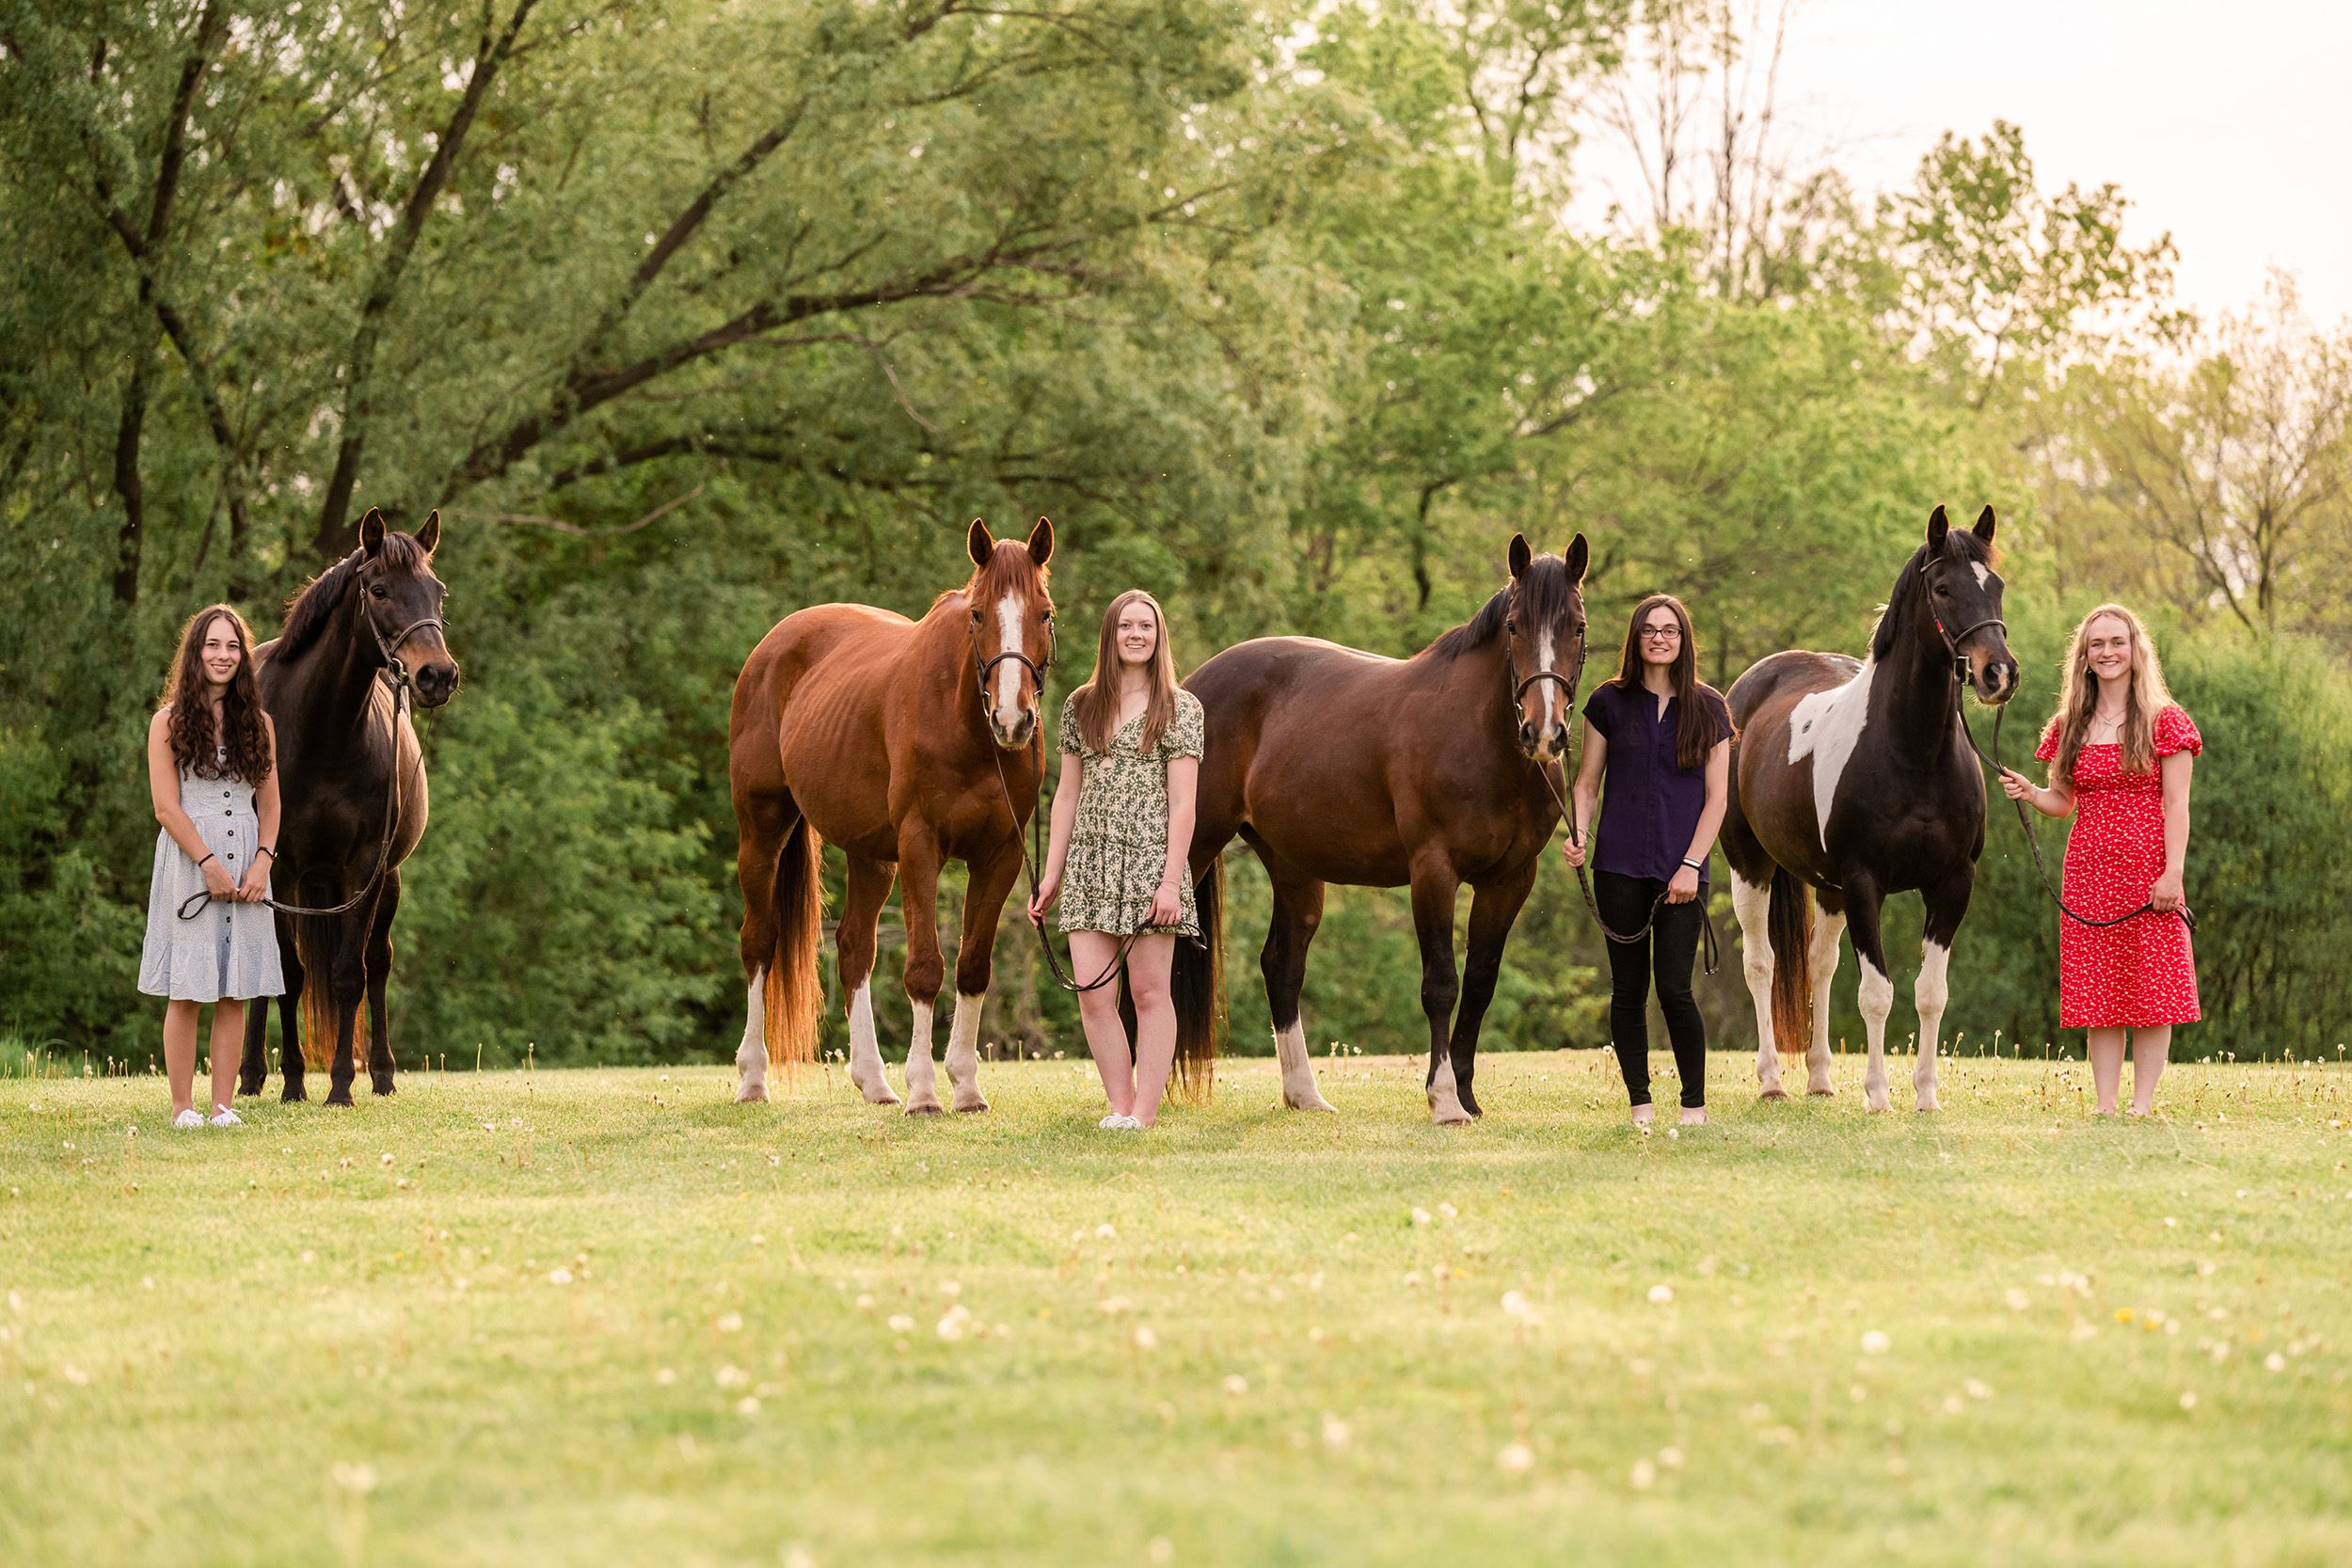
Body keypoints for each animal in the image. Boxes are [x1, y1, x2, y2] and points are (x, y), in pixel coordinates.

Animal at [237, 508, 461, 1105]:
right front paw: (293, 1082)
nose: (438, 676)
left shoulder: (364, 868)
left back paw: (380, 1073)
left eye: (438, 591)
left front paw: (340, 1084)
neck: (321, 730)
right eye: (379, 590)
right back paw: (250, 1074)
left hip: (385, 880)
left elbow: (348, 975)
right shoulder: (280, 870)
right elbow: (288, 975)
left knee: (377, 964)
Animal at [728, 518, 1056, 1113]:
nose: (1012, 719)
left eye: (1044, 613)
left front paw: (966, 1087)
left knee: (855, 947)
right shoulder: (920, 846)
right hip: (761, 831)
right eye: (978, 614)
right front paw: (924, 1092)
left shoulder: (999, 856)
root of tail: (773, 645)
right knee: (759, 942)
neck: (967, 728)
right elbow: (925, 968)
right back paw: (753, 1080)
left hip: (872, 856)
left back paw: (874, 1082)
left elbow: (973, 966)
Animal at [1171, 534, 1589, 1124]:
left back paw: (1304, 1095)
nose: (1544, 732)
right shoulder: (1433, 870)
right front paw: (1444, 1101)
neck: (1481, 736)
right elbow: (1441, 984)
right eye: (1514, 627)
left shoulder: (1509, 880)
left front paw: (1467, 1096)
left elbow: (1480, 983)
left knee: (1281, 965)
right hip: (1192, 847)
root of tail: (1189, 686)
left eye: (1577, 625)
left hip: (1293, 865)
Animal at [1719, 504, 2018, 1112]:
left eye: (1996, 586)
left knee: (1818, 966)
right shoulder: (1864, 882)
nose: (1998, 673)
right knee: (1760, 965)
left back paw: (1819, 1079)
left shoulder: (1952, 882)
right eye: (1943, 588)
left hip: (1828, 888)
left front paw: (1926, 1096)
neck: (1912, 753)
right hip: (1751, 866)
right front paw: (1879, 1095)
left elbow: (1930, 993)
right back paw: (1772, 1081)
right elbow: (1877, 993)